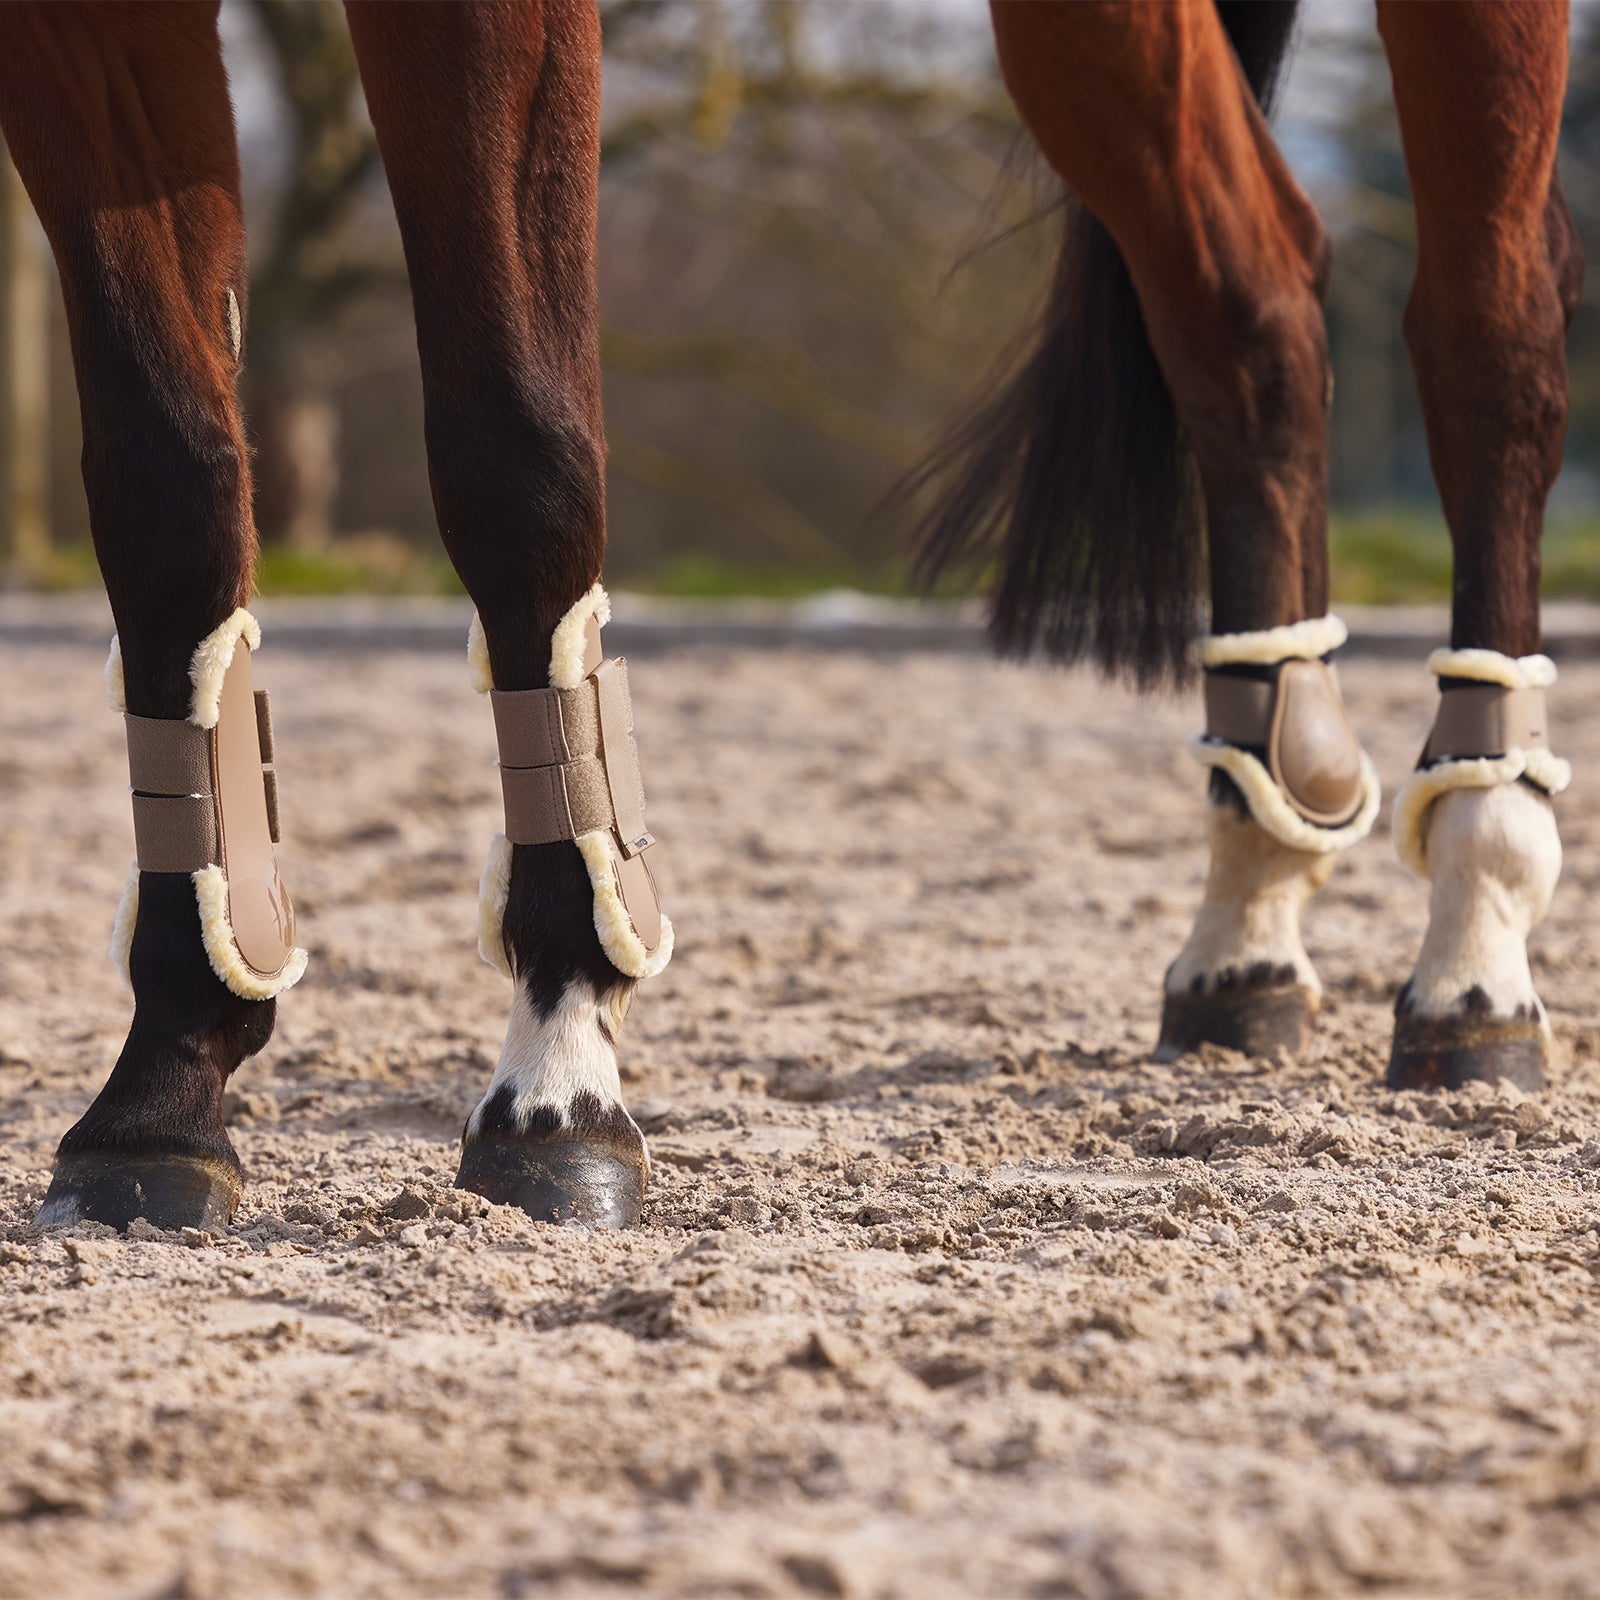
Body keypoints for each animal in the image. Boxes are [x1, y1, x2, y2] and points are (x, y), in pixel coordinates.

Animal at [0, 0, 1577, 1235]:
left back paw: (1474, 943)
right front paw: (167, 1080)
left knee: (1488, 336)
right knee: (1253, 311)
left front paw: (561, 1066)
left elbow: (517, 447)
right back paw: (1252, 911)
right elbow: (167, 486)